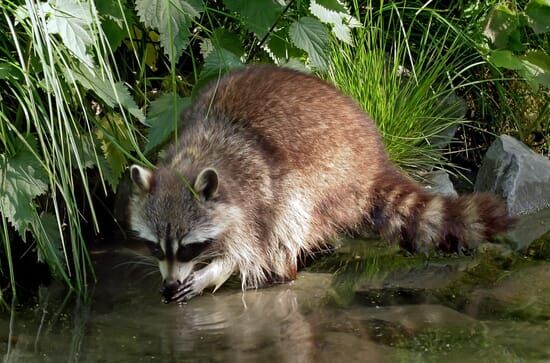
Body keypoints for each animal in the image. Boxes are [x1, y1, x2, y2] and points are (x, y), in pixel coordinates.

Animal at [127, 65, 516, 304]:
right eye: (156, 247)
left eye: (189, 248)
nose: (170, 284)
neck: (196, 154)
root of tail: (373, 159)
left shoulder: (255, 190)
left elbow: (252, 249)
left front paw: (214, 272)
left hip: (328, 175)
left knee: (290, 218)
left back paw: (284, 273)